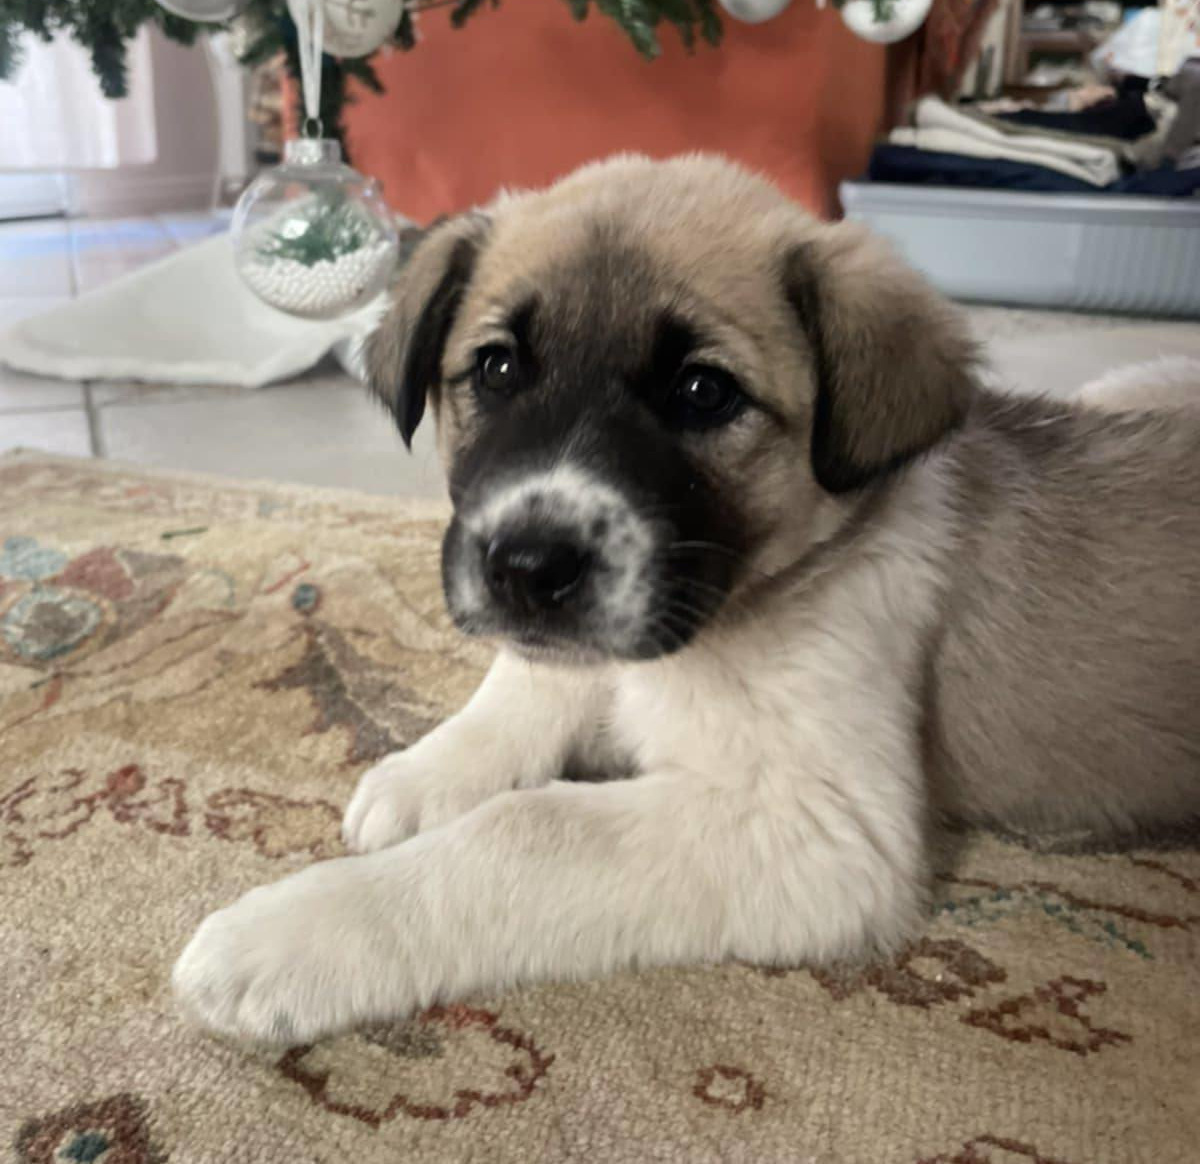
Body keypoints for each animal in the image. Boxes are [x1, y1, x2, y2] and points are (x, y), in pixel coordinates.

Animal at [173, 154, 1200, 1046]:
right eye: (498, 369)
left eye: (704, 392)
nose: (527, 567)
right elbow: (529, 685)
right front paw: (432, 771)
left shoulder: (823, 828)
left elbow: (527, 827)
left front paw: (290, 934)